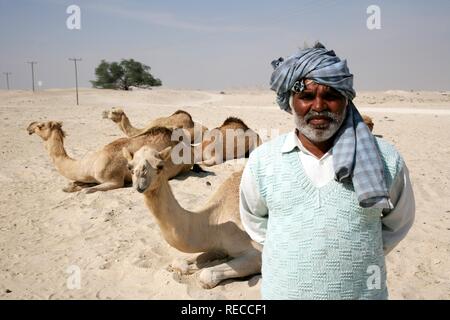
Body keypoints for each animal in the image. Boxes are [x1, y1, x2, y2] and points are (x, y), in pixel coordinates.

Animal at [27, 121, 196, 192]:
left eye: (40, 126)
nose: (29, 127)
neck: (90, 164)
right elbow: (73, 185)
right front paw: (72, 186)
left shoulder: (114, 180)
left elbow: (87, 191)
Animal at [123, 145, 264, 288]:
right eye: (129, 167)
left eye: (160, 166)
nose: (140, 184)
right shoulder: (219, 245)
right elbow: (179, 261)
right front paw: (192, 267)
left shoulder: (257, 252)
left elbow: (206, 275)